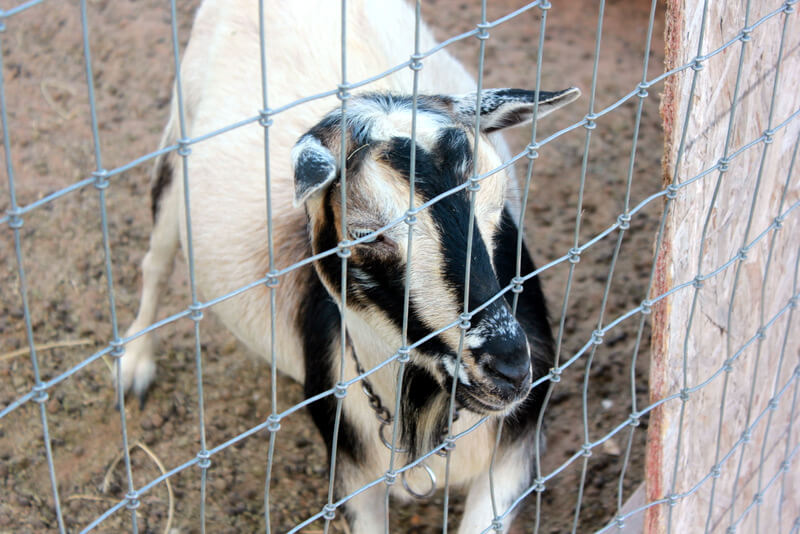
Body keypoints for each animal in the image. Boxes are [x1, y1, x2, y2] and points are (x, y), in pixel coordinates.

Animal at [120, 2, 580, 532]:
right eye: (364, 233)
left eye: (498, 203)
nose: (509, 369)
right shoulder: (353, 474)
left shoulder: (511, 461)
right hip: (178, 139)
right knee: (156, 262)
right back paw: (133, 366)